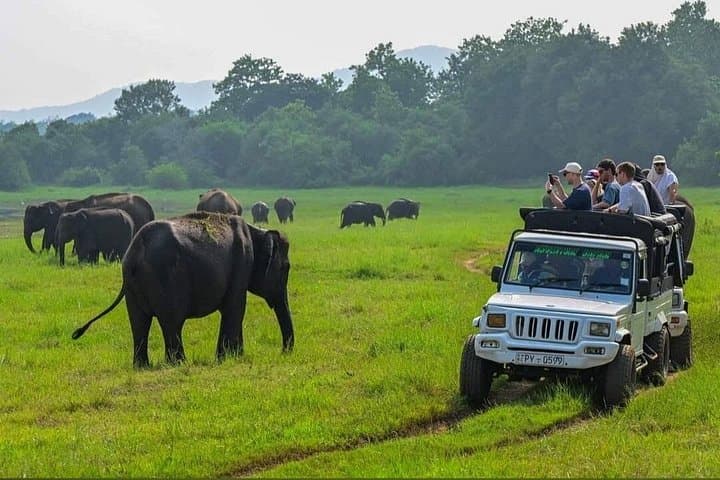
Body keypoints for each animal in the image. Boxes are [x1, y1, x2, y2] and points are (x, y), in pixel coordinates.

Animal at [72, 212, 294, 368]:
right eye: (285, 268)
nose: (284, 352)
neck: (257, 231)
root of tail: (135, 251)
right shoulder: (241, 264)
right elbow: (235, 307)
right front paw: (226, 359)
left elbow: (234, 309)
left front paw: (236, 356)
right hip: (166, 279)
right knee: (172, 321)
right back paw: (179, 363)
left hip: (132, 287)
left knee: (139, 322)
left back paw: (142, 366)